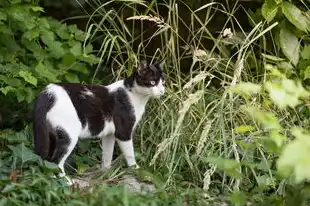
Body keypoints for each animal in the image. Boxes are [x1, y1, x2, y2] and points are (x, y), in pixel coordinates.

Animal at [33, 59, 166, 183]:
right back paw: (66, 182)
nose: (162, 91)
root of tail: (48, 93)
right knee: (56, 161)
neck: (136, 96)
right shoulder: (123, 132)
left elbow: (107, 154)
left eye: (163, 82)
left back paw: (49, 179)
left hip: (50, 135)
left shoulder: (109, 134)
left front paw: (105, 173)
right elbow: (130, 154)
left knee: (46, 160)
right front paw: (137, 170)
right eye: (153, 82)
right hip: (69, 135)